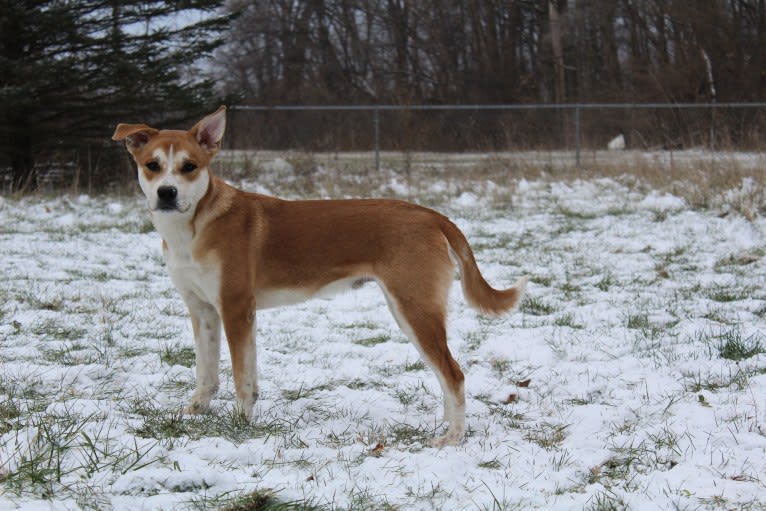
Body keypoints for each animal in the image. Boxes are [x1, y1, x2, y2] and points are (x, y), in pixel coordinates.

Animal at [112, 106, 528, 446]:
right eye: (152, 165)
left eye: (189, 166)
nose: (167, 193)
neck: (194, 226)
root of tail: (431, 215)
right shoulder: (203, 311)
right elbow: (207, 372)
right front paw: (195, 411)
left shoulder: (236, 308)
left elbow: (241, 377)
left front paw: (240, 423)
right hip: (409, 310)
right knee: (445, 376)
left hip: (415, 309)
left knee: (453, 375)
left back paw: (453, 437)